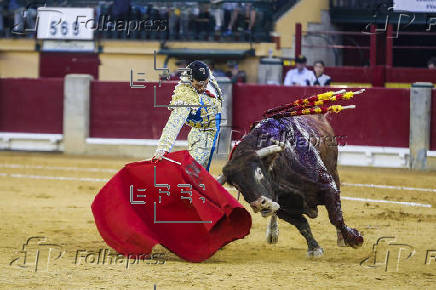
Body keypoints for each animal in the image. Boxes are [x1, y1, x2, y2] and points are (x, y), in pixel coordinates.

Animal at [218, 114, 364, 258]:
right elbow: (302, 224)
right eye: (236, 185)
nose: (259, 204)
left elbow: (336, 217)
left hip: (334, 171)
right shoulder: (282, 209)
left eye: (259, 171)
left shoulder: (328, 187)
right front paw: (314, 248)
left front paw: (354, 239)